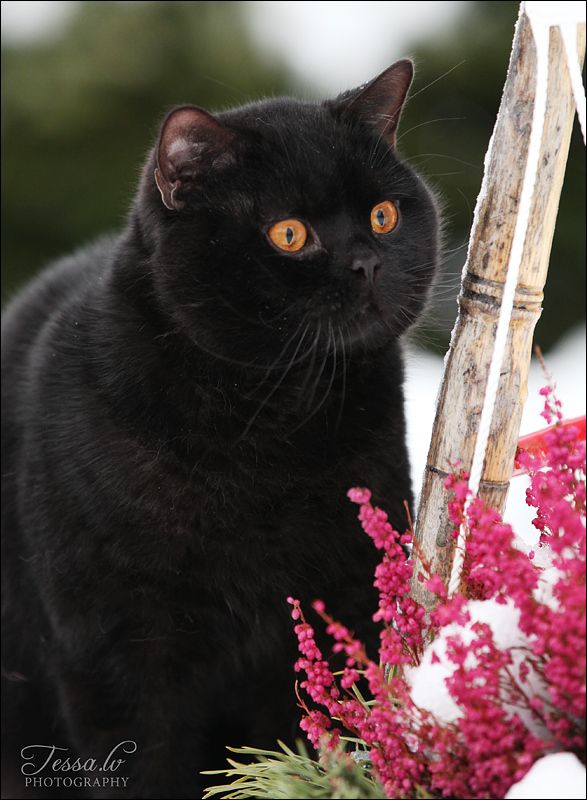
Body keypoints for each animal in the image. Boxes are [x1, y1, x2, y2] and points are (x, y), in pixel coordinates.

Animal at [2, 62, 438, 800]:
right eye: (288, 234)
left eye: (383, 216)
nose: (367, 263)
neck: (267, 428)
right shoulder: (116, 651)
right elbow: (142, 764)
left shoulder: (337, 601)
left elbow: (309, 734)